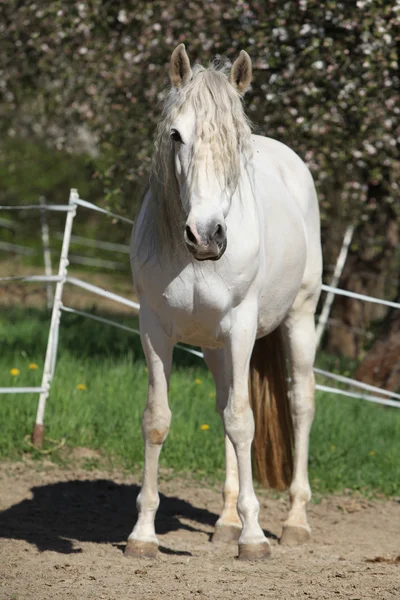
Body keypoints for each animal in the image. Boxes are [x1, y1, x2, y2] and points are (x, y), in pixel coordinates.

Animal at [130, 44, 324, 560]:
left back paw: (294, 522)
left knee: (300, 403)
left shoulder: (241, 328)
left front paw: (254, 539)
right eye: (176, 135)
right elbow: (158, 420)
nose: (206, 235)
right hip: (216, 348)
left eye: (238, 142)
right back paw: (225, 522)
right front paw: (143, 534)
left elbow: (243, 422)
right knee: (223, 406)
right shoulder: (154, 328)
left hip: (299, 319)